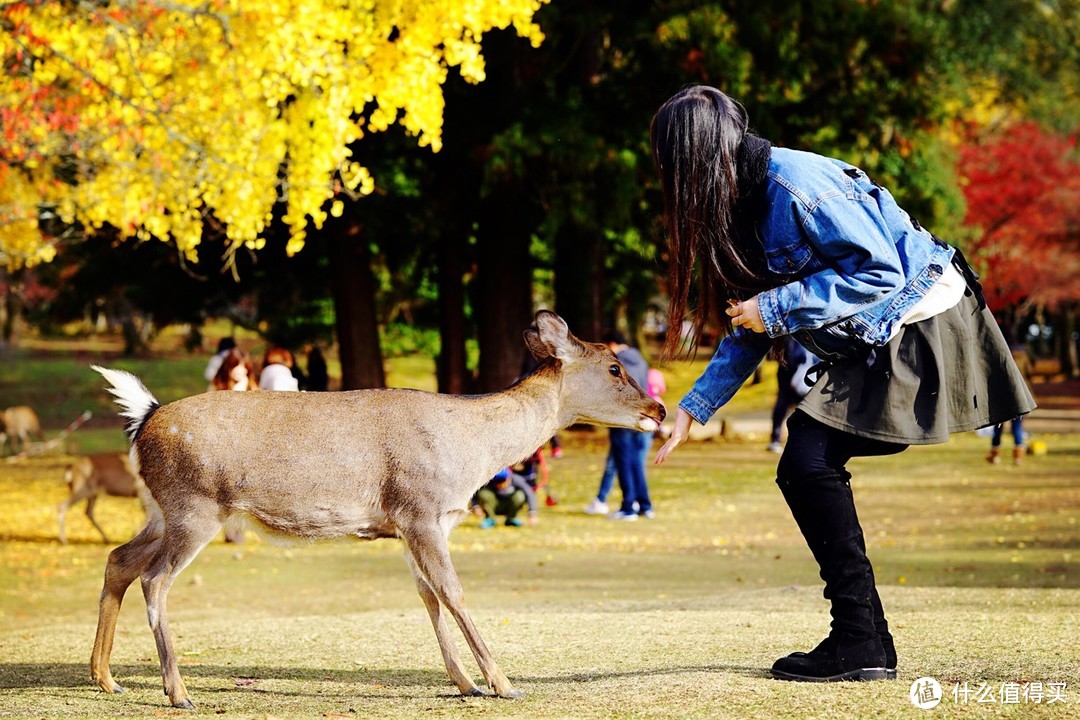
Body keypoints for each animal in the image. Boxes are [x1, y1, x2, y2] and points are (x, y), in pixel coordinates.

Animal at [88, 310, 665, 708]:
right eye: (614, 366)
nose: (658, 409)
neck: (473, 453)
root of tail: (146, 418)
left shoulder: (415, 524)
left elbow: (428, 597)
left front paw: (466, 684)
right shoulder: (421, 507)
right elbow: (452, 592)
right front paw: (503, 683)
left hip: (162, 511)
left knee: (119, 560)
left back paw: (106, 677)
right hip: (196, 505)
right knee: (154, 579)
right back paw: (178, 690)